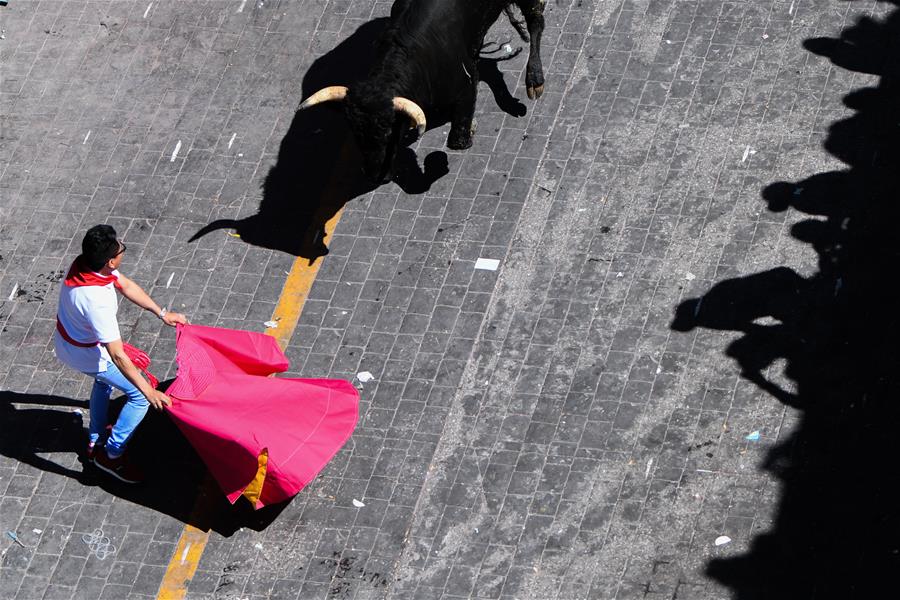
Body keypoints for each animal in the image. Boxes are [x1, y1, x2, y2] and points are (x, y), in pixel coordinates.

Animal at [298, 0, 547, 183]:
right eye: (356, 132)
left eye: (388, 131)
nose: (374, 175)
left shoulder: (466, 86)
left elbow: (456, 141)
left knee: (536, 20)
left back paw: (534, 80)